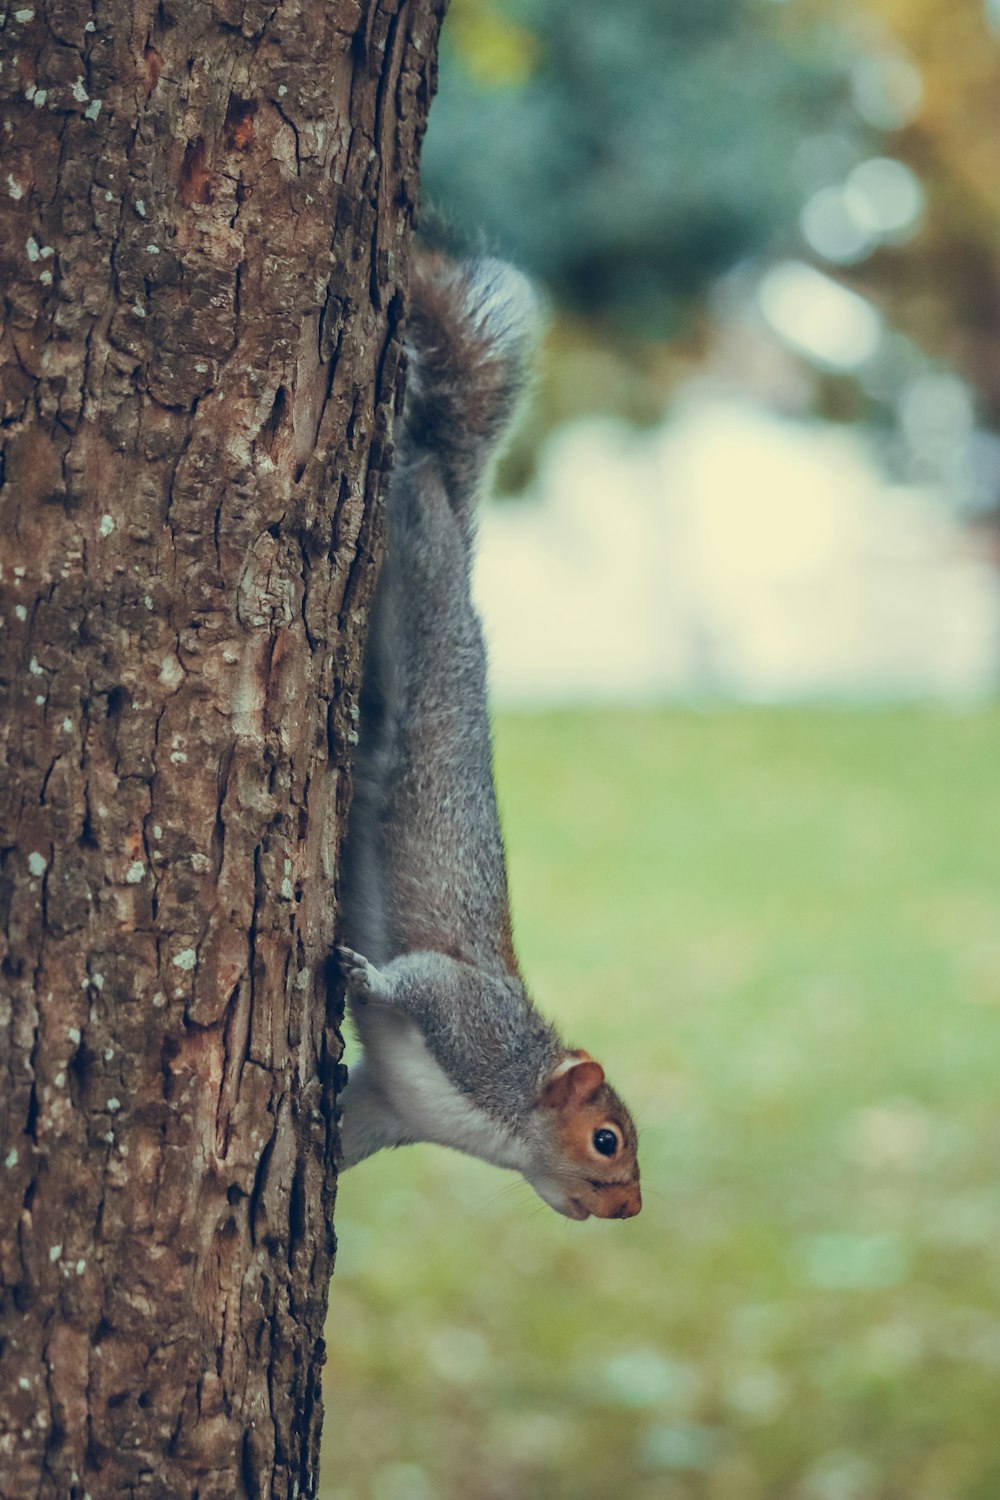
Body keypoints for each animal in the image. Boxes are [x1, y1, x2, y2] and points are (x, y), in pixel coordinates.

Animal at [335, 246, 641, 1224]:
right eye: (608, 1140)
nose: (629, 1210)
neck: (504, 1127)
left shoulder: (388, 1109)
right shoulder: (469, 1018)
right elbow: (417, 978)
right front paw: (358, 974)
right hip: (425, 589)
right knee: (417, 499)